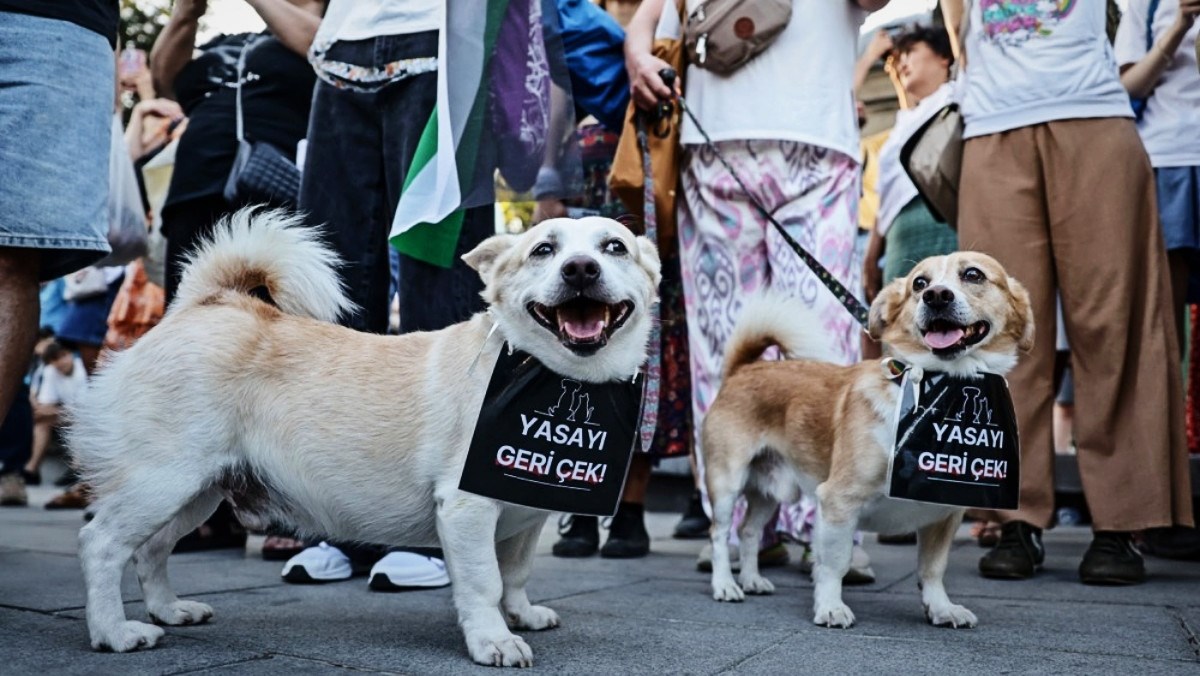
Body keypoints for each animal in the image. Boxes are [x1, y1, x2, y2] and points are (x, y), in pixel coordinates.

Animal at [70, 210, 662, 667]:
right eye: (543, 250)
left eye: (615, 247)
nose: (580, 268)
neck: (547, 375)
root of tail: (206, 303)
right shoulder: (467, 511)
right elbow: (484, 583)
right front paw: (494, 640)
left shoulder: (525, 515)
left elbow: (515, 574)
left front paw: (522, 616)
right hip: (163, 481)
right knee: (103, 544)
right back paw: (114, 633)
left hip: (199, 491)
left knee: (151, 549)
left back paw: (170, 610)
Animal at [700, 252, 1032, 629]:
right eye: (919, 283)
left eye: (973, 275)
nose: (935, 296)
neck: (936, 388)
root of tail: (742, 369)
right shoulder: (838, 502)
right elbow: (834, 563)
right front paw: (830, 606)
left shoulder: (943, 514)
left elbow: (932, 570)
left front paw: (942, 608)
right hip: (727, 481)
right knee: (719, 533)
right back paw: (725, 584)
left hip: (772, 492)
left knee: (748, 531)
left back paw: (752, 579)